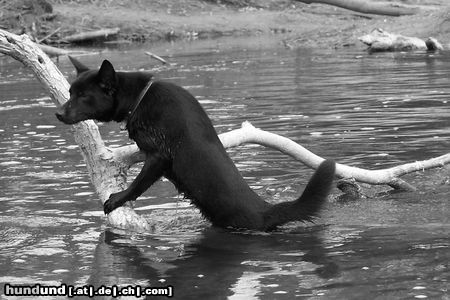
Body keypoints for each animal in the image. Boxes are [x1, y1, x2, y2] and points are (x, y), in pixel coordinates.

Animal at [56, 56, 334, 230]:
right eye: (70, 93)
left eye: (83, 96)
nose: (57, 114)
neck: (140, 97)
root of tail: (265, 210)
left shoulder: (158, 157)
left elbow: (138, 185)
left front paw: (118, 199)